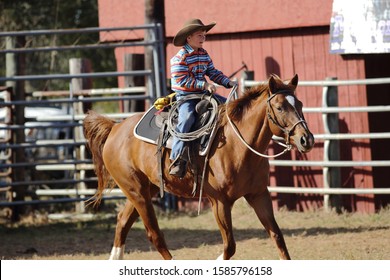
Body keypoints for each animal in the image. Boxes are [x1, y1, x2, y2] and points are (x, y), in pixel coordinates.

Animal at [82, 74, 314, 260]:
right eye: (280, 107)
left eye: (301, 104)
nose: (306, 139)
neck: (237, 144)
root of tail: (115, 128)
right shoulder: (219, 202)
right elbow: (229, 246)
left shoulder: (259, 194)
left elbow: (277, 237)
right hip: (136, 191)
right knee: (154, 234)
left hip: (147, 189)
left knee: (122, 221)